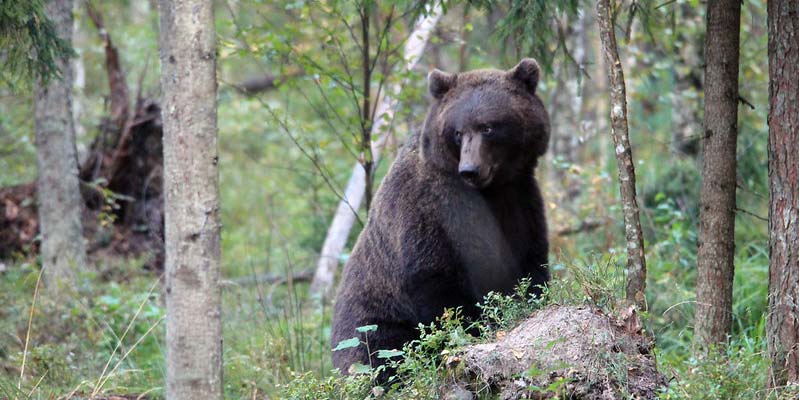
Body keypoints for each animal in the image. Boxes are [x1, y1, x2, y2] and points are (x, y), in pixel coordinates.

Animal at [332, 57, 552, 376]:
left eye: (488, 127)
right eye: (458, 132)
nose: (470, 170)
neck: (491, 190)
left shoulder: (520, 199)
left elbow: (530, 261)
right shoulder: (431, 210)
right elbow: (438, 284)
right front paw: (469, 328)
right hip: (372, 318)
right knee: (380, 351)